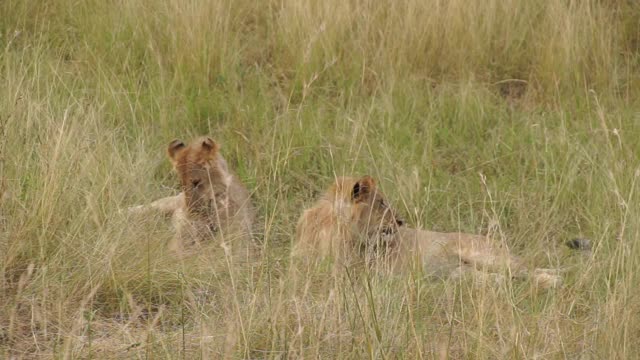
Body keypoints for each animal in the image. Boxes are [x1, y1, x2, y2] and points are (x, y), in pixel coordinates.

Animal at [296, 176, 584, 288]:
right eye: (382, 203)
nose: (400, 221)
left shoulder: (363, 271)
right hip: (461, 274)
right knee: (500, 279)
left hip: (487, 256)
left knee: (529, 271)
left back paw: (555, 280)